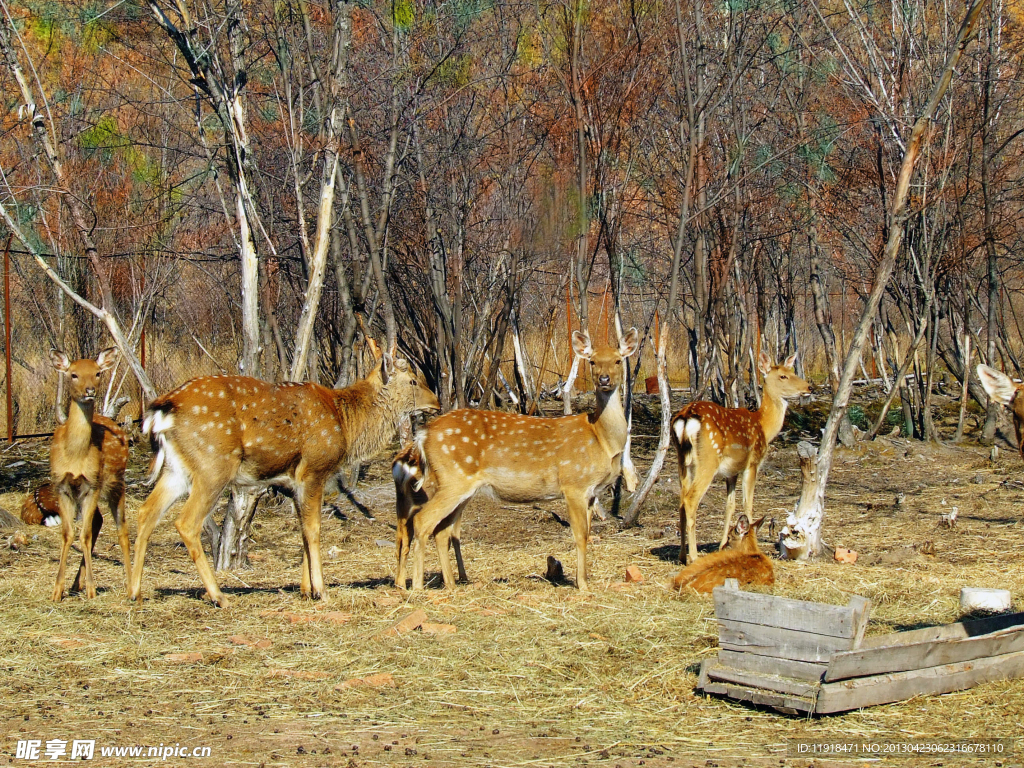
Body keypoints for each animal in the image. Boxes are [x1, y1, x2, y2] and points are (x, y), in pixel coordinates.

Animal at [48, 348, 131, 602]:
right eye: (73, 374)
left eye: (97, 373)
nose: (90, 390)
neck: (75, 455)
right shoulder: (61, 484)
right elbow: (68, 533)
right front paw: (57, 590)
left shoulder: (92, 483)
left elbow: (83, 534)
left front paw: (92, 589)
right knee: (98, 521)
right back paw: (76, 584)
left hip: (116, 482)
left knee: (122, 528)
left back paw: (131, 588)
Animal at [125, 348, 438, 606]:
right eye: (413, 381)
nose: (435, 402)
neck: (346, 425)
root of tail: (162, 408)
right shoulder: (314, 469)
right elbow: (314, 529)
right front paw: (321, 591)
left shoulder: (293, 483)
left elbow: (303, 530)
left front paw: (305, 590)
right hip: (213, 465)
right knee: (186, 522)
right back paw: (218, 596)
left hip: (176, 469)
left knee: (146, 512)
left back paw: (135, 592)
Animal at [401, 327, 634, 593]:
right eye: (592, 361)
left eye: (618, 360)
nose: (604, 379)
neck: (601, 439)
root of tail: (424, 434)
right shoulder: (574, 484)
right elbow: (580, 536)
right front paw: (583, 585)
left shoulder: (592, 492)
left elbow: (587, 534)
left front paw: (585, 580)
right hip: (453, 479)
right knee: (422, 520)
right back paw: (417, 587)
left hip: (460, 486)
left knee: (441, 530)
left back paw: (450, 585)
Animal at [671, 354, 806, 565]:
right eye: (783, 376)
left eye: (791, 371)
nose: (808, 387)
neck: (763, 427)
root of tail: (685, 419)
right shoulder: (752, 463)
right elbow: (748, 504)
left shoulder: (731, 472)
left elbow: (730, 506)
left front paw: (722, 545)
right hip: (708, 459)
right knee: (691, 499)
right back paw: (693, 556)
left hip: (682, 461)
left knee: (681, 501)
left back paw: (681, 555)